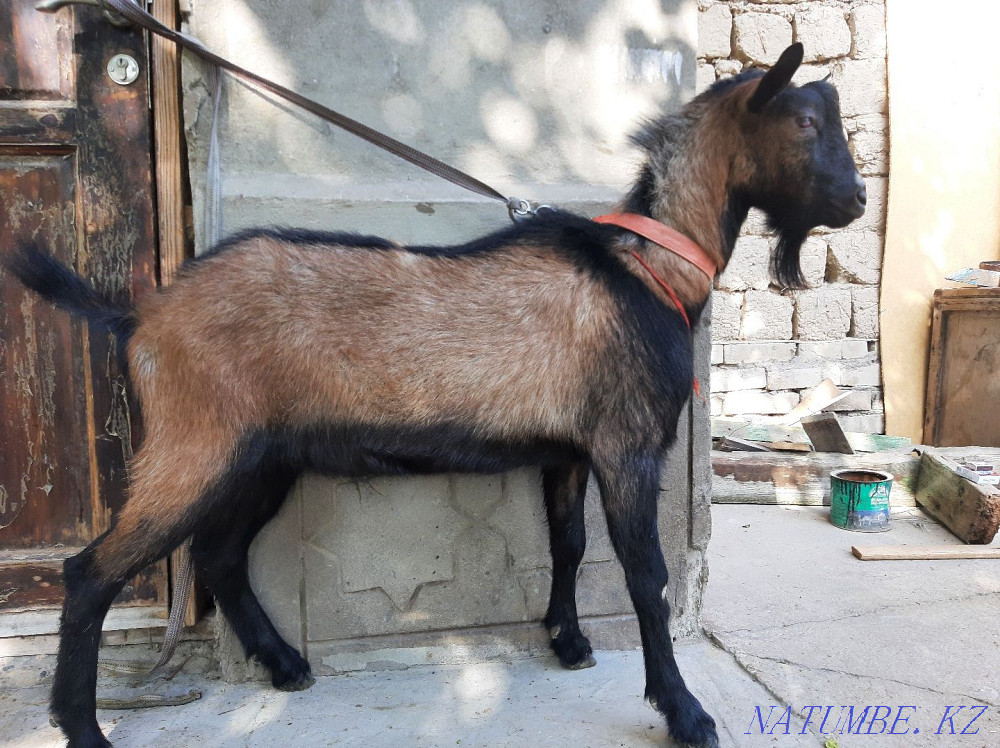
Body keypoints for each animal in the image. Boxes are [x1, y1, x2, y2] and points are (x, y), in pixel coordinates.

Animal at [6, 43, 865, 748]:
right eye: (805, 123)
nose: (856, 201)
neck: (647, 267)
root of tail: (140, 317)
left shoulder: (570, 448)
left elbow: (566, 544)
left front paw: (568, 642)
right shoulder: (628, 446)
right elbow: (645, 580)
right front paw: (684, 712)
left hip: (261, 455)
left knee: (219, 554)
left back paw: (284, 665)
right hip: (194, 443)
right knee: (92, 573)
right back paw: (84, 728)